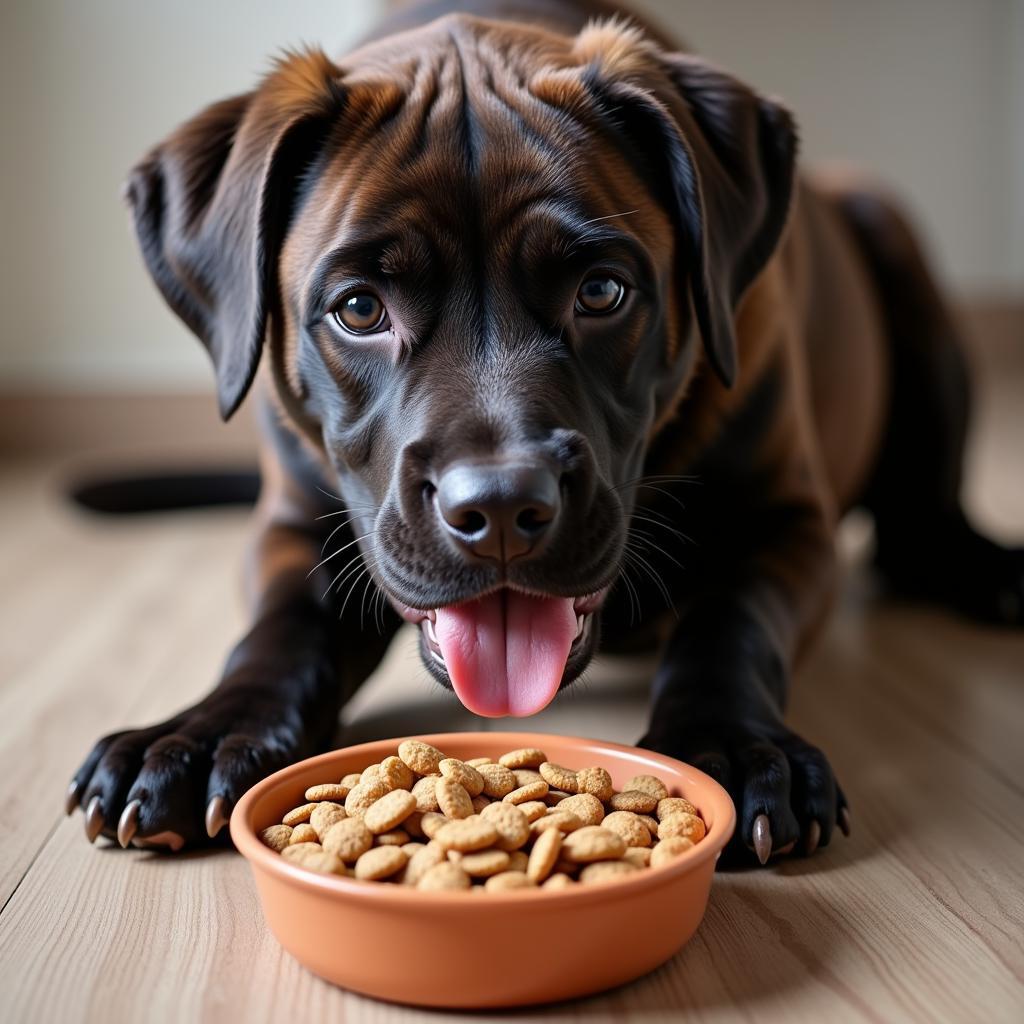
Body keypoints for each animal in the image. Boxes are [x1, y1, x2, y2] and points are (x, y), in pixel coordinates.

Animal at [68, 0, 1019, 864]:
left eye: (601, 292)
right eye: (359, 309)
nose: (498, 509)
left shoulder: (783, 520)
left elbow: (733, 620)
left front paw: (734, 744)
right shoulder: (296, 529)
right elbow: (277, 633)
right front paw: (200, 733)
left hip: (889, 232)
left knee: (917, 526)